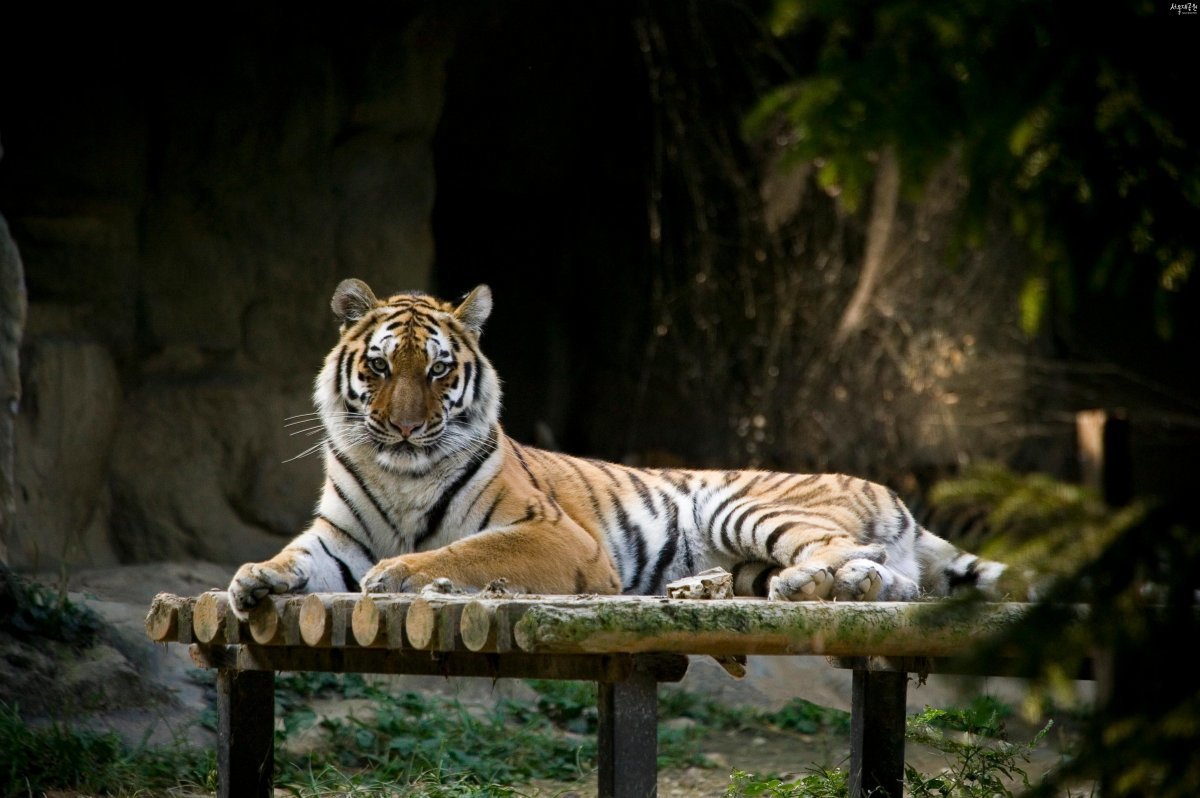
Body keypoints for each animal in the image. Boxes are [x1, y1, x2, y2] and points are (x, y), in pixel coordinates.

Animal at [225, 277, 1012, 619]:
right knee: (896, 582)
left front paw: (405, 574)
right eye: (382, 367)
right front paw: (253, 580)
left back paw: (799, 586)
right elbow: (297, 559)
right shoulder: (339, 538)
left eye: (440, 371)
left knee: (857, 558)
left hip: (744, 506)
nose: (408, 428)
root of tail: (894, 492)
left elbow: (465, 550)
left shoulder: (554, 534)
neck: (400, 475)